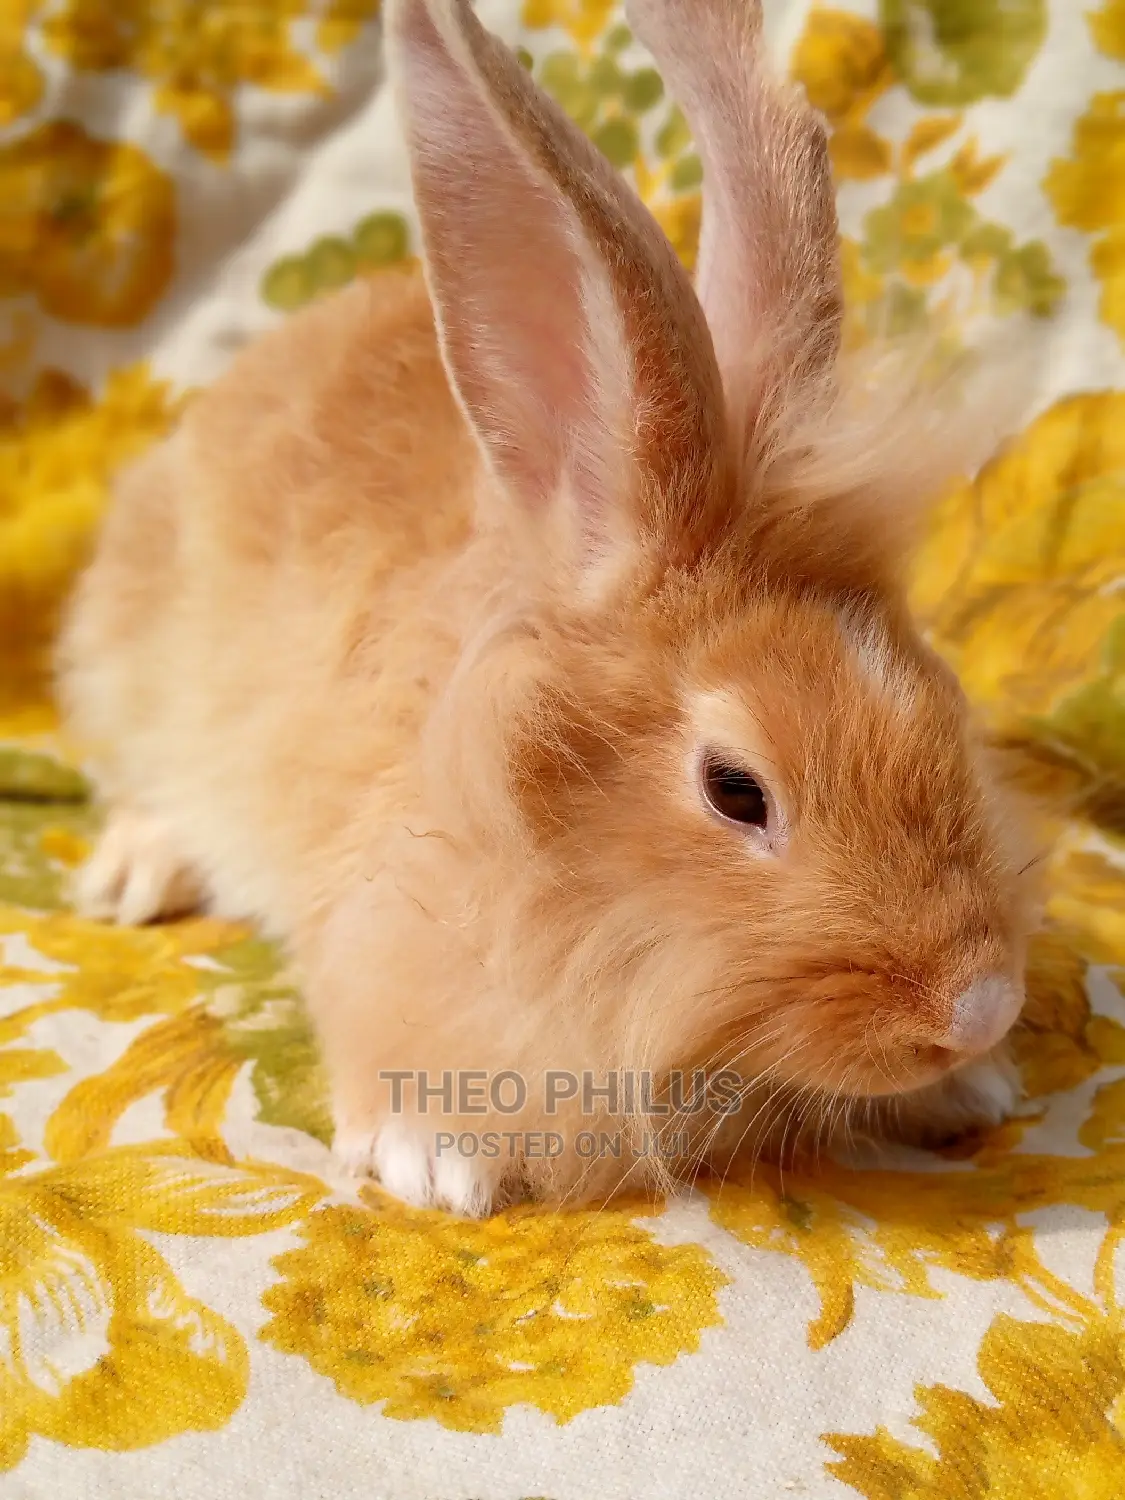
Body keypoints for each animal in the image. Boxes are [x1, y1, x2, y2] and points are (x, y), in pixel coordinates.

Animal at [57, 0, 1038, 1217]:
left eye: (943, 705)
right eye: (735, 790)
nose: (981, 1006)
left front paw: (977, 1091)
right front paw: (433, 1161)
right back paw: (134, 875)